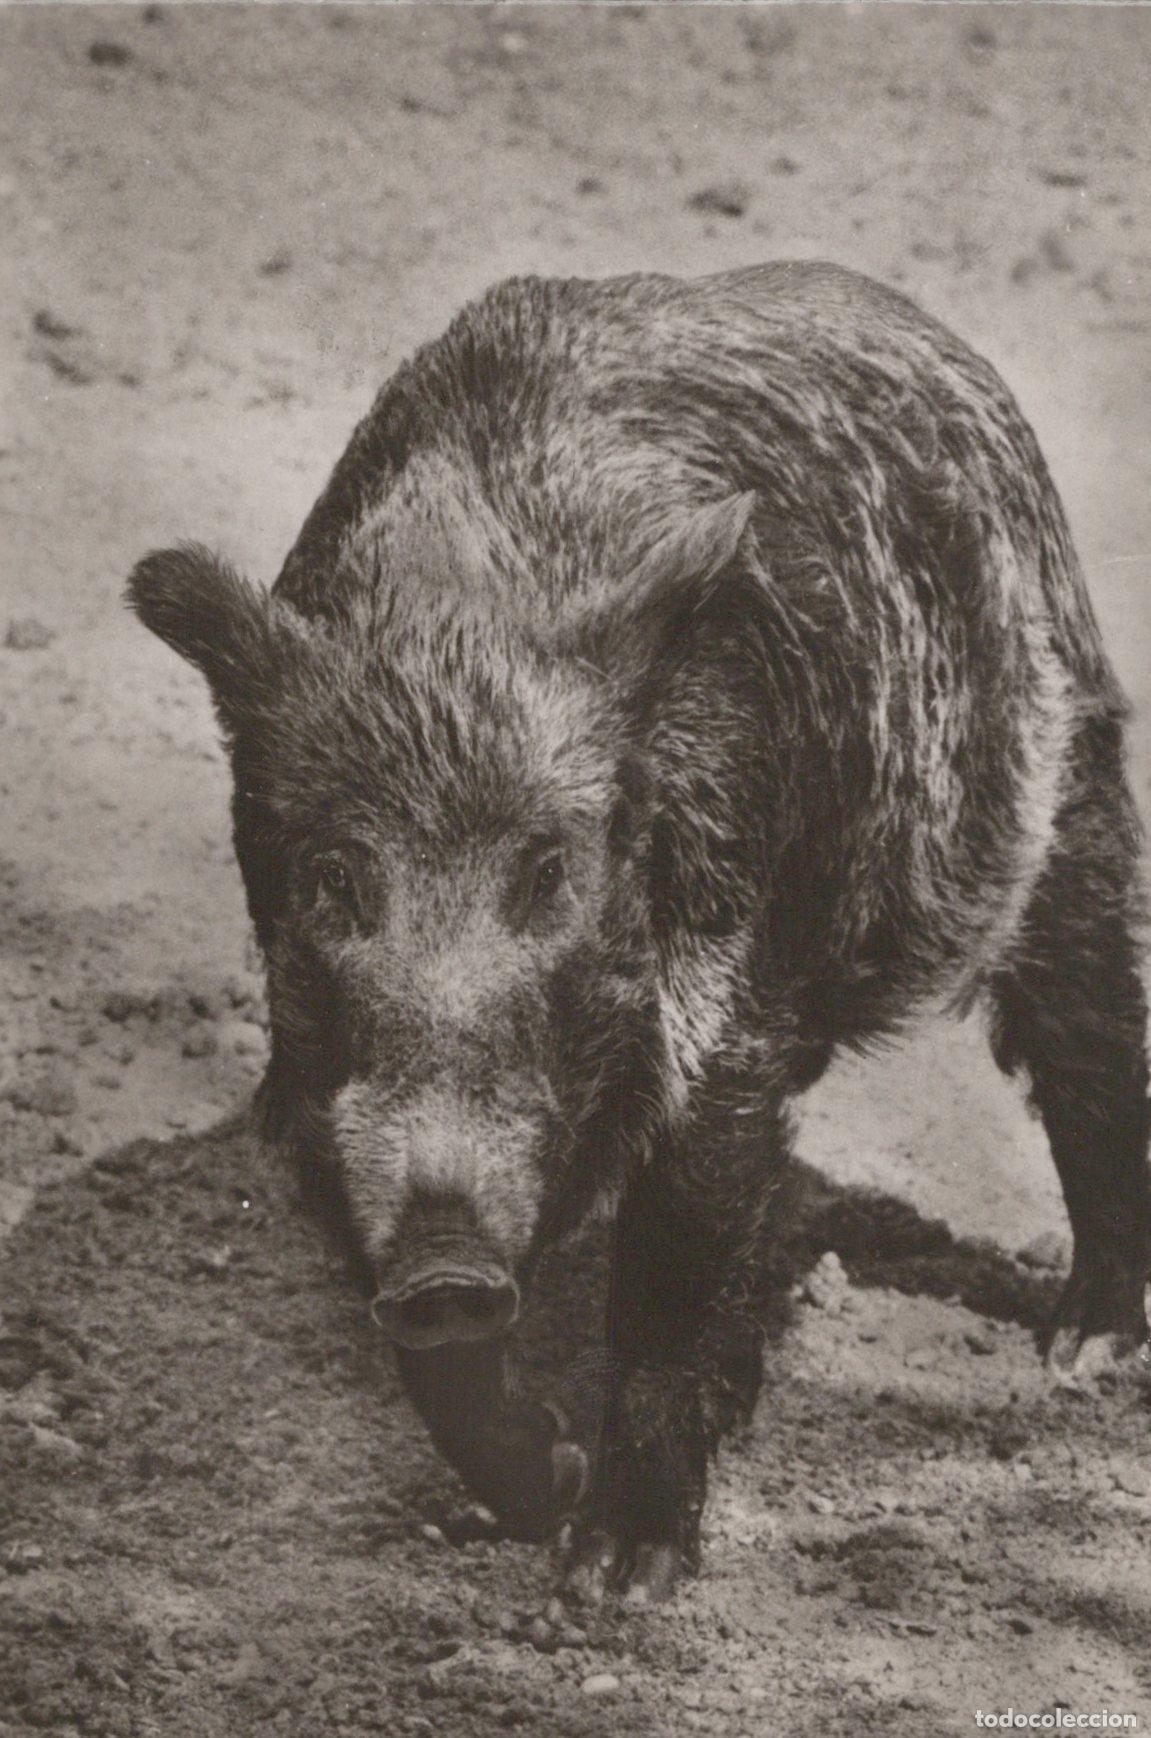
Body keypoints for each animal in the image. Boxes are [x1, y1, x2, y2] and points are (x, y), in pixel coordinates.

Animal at [128, 261, 1151, 1604]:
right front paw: (539, 1491)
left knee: (1092, 1034)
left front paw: (616, 1579)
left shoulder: (723, 986)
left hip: (1060, 789)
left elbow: (680, 1252)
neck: (457, 613)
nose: (445, 1262)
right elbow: (419, 1349)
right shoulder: (316, 1084)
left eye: (550, 870)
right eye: (334, 878)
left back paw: (1086, 1349)